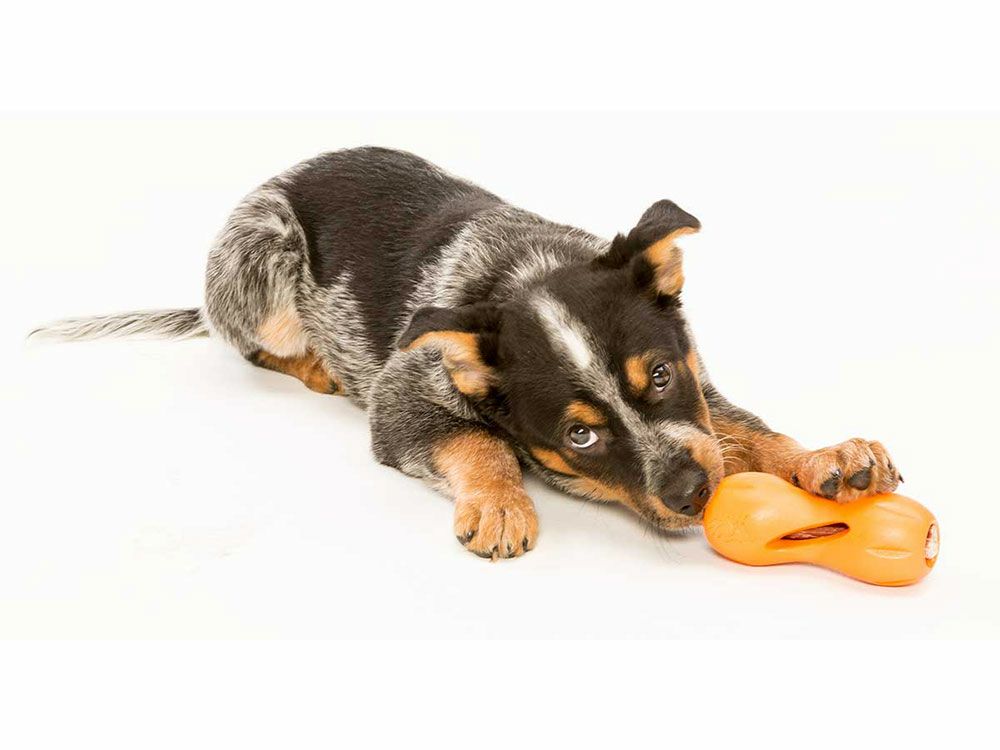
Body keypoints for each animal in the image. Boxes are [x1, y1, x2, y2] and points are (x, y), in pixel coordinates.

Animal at [35, 147, 902, 560]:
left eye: (658, 375)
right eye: (580, 435)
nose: (695, 493)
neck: (518, 269)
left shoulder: (699, 390)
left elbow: (744, 427)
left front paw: (826, 458)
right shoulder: (400, 402)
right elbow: (475, 441)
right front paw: (500, 501)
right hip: (262, 258)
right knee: (250, 343)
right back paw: (315, 363)